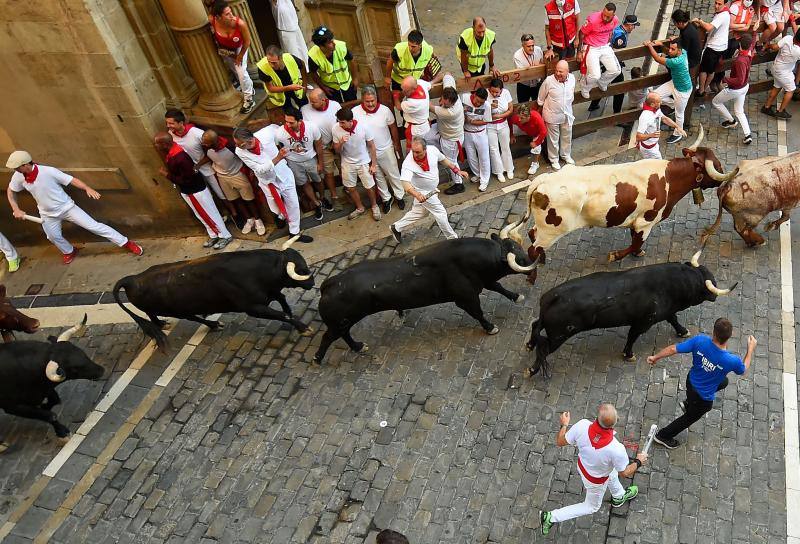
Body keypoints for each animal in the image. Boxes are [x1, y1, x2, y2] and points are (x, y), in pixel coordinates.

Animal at [114, 242, 314, 348]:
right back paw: (213, 324)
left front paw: (292, 314)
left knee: (153, 315)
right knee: (188, 317)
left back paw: (163, 324)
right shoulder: (253, 308)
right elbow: (281, 314)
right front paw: (303, 328)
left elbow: (282, 299)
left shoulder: (269, 294)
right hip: (178, 311)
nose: (312, 283)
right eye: (302, 270)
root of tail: (132, 279)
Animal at [314, 233, 536, 364]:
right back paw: (319, 358)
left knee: (344, 335)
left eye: (517, 246)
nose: (532, 260)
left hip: (344, 322)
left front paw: (516, 296)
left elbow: (499, 287)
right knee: (328, 337)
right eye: (518, 256)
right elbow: (478, 313)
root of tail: (330, 283)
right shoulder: (466, 298)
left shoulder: (483, 281)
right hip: (340, 322)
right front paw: (490, 327)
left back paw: (358, 346)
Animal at [528, 251, 736, 378]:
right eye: (709, 283)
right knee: (543, 348)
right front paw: (628, 354)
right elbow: (632, 337)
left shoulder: (665, 313)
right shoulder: (643, 322)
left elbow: (673, 319)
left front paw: (683, 331)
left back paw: (529, 344)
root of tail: (552, 297)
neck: (673, 282)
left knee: (535, 326)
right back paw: (532, 369)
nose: (714, 296)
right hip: (558, 336)